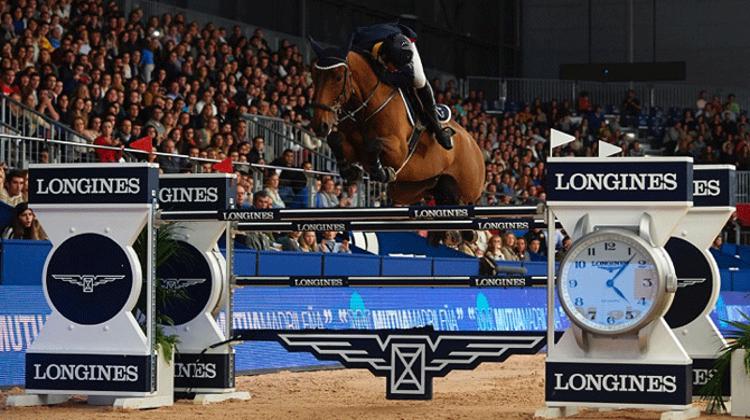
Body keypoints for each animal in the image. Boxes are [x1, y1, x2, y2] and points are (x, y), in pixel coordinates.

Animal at [308, 41, 484, 206]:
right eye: (314, 75)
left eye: (338, 77)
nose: (319, 125)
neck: (366, 108)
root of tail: (476, 146)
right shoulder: (353, 149)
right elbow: (335, 139)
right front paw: (351, 171)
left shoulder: (399, 151)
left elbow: (374, 144)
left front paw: (382, 172)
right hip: (417, 189)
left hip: (465, 195)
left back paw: (444, 137)